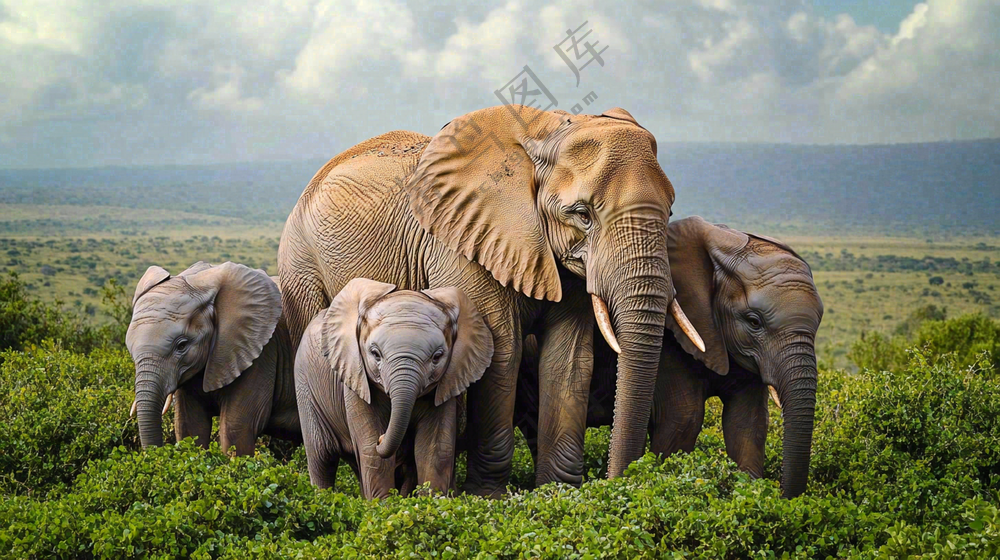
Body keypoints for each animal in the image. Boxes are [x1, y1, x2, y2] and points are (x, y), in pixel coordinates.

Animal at [294, 278, 493, 498]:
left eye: (437, 357)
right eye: (375, 354)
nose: (382, 438)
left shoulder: (446, 382)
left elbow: (434, 448)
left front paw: (430, 502)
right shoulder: (356, 380)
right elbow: (370, 450)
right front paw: (383, 504)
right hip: (304, 384)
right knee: (322, 455)